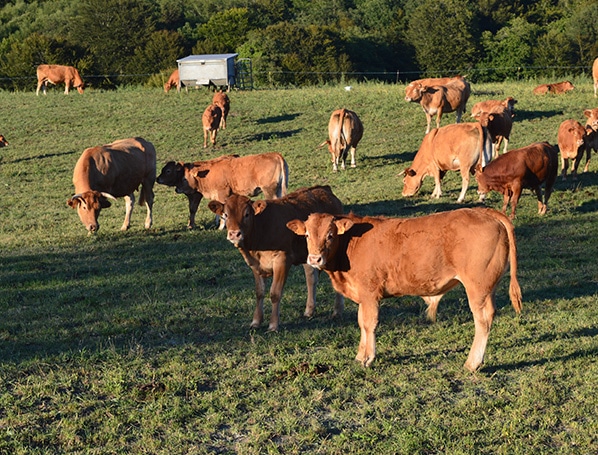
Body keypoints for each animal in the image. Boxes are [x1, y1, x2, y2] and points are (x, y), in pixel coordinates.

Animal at [157, 153, 290, 230]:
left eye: (168, 171)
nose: (157, 178)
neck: (208, 173)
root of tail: (276, 155)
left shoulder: (222, 195)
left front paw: (221, 226)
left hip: (269, 190)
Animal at [207, 185, 344, 332]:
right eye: (226, 215)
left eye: (247, 214)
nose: (234, 234)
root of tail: (324, 189)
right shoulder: (255, 264)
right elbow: (259, 292)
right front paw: (256, 321)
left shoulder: (282, 260)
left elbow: (275, 293)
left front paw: (273, 325)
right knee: (311, 278)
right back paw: (309, 311)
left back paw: (337, 311)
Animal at [288, 208, 524, 372]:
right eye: (307, 235)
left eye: (330, 235)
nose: (314, 259)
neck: (351, 244)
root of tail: (484, 211)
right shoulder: (363, 297)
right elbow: (361, 323)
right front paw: (360, 355)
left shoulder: (370, 293)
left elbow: (369, 324)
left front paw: (368, 357)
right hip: (487, 289)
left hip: (477, 288)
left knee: (482, 320)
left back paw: (472, 362)